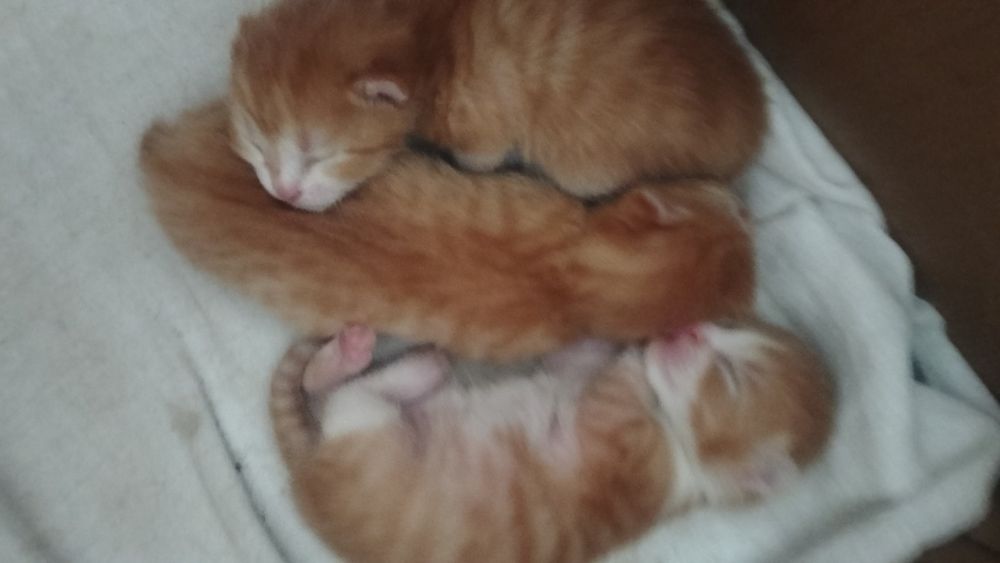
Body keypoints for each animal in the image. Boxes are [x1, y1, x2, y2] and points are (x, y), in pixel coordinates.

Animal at [229, 0, 766, 210]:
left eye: (324, 156)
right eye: (255, 143)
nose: (283, 193)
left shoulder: (482, 122)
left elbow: (480, 158)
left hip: (588, 167)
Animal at [270, 319, 834, 563]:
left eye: (733, 377)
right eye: (728, 327)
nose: (690, 330)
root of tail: (305, 471)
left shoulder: (628, 450)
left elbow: (617, 389)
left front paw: (640, 354)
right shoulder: (575, 371)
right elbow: (578, 356)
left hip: (367, 435)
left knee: (348, 395)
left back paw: (402, 366)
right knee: (322, 391)